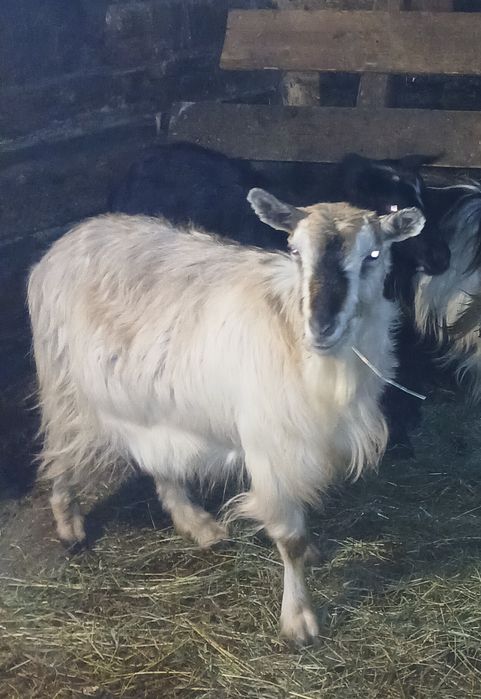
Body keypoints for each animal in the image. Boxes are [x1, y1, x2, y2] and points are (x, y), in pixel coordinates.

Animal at [28, 191, 424, 644]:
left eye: (373, 254)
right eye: (294, 251)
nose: (321, 326)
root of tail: (71, 238)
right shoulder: (269, 448)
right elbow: (290, 538)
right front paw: (299, 620)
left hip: (149, 401)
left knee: (157, 461)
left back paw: (199, 525)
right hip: (64, 386)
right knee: (59, 452)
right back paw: (69, 526)